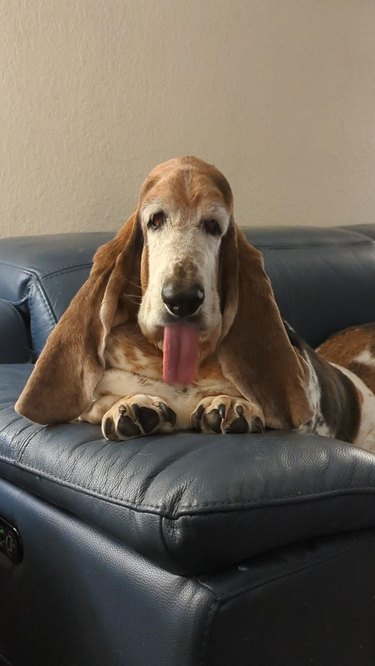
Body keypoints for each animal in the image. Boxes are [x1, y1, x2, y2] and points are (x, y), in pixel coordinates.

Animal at [15, 154, 375, 452]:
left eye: (214, 226)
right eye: (155, 219)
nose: (182, 299)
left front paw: (230, 405)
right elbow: (99, 402)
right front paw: (132, 406)